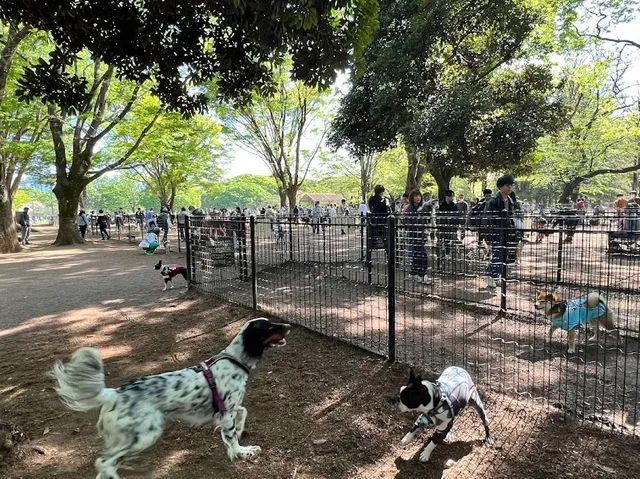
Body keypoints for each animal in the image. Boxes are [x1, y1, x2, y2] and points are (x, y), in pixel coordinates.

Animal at [51, 318, 292, 479]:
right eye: (269, 326)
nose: (289, 325)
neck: (234, 360)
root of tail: (116, 393)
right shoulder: (226, 412)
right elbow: (232, 437)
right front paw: (241, 452)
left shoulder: (228, 410)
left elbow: (243, 414)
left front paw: (241, 435)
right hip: (147, 434)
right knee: (104, 462)